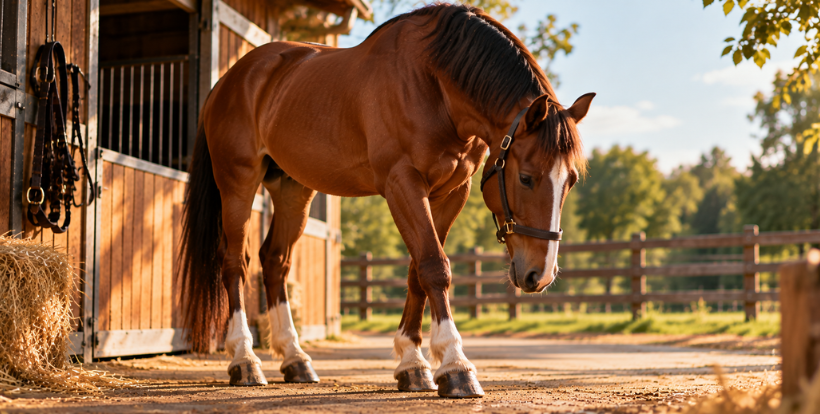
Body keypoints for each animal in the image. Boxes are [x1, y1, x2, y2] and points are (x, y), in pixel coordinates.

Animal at [177, 2, 594, 398]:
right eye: (526, 178)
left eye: (570, 181)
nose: (540, 275)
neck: (436, 85)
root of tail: (229, 79)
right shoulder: (402, 183)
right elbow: (434, 266)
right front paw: (455, 366)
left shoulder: (450, 192)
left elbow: (416, 272)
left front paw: (413, 364)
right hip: (238, 182)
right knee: (235, 263)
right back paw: (244, 360)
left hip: (293, 189)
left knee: (275, 260)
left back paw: (295, 358)